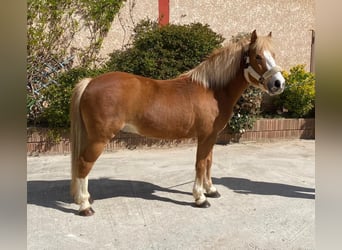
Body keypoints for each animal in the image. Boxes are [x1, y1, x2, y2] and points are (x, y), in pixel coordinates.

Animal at [70, 30, 286, 215]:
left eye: (274, 54)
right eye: (257, 56)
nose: (279, 83)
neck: (213, 91)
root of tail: (90, 82)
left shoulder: (212, 136)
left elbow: (209, 162)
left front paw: (211, 190)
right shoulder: (205, 136)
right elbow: (200, 164)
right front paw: (200, 198)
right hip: (99, 139)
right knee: (84, 164)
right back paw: (84, 206)